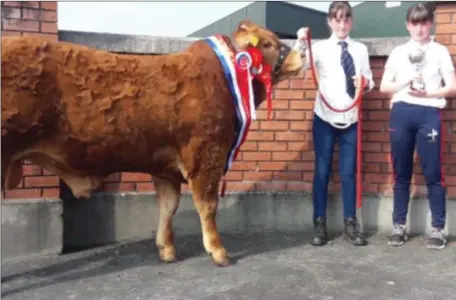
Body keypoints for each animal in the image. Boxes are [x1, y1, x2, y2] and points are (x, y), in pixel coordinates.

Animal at [1, 19, 306, 266]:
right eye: (267, 43)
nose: (302, 52)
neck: (221, 76)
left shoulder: (164, 167)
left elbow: (168, 206)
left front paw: (166, 249)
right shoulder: (206, 154)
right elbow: (207, 205)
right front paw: (218, 251)